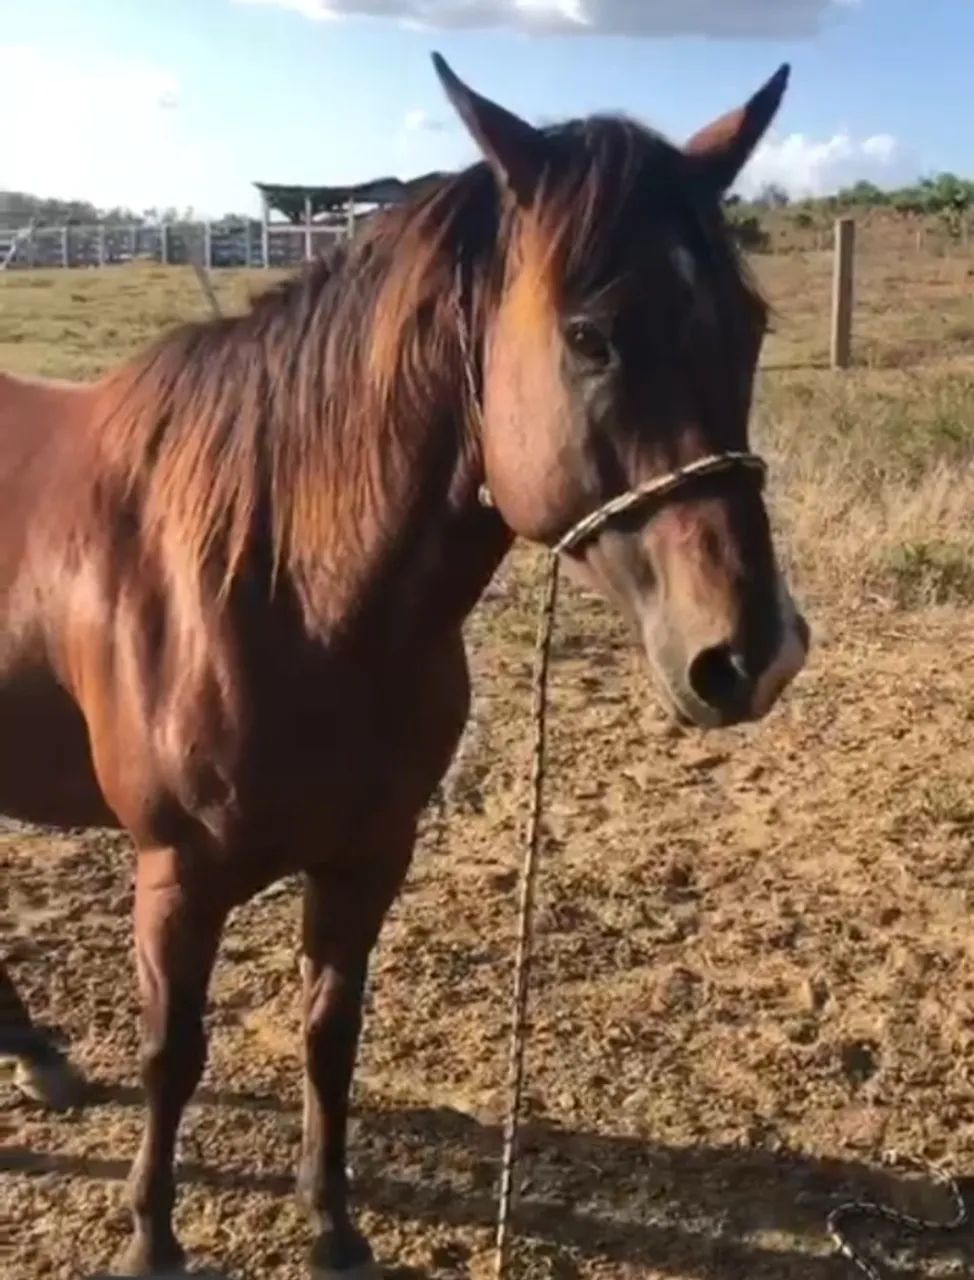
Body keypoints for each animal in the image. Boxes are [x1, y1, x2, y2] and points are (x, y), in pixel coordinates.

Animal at [0, 53, 808, 1279]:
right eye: (591, 337)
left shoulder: (369, 856)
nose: (750, 655)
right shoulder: (175, 875)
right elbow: (171, 1054)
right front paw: (151, 1239)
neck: (281, 585)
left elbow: (330, 1032)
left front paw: (331, 1223)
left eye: (750, 323)